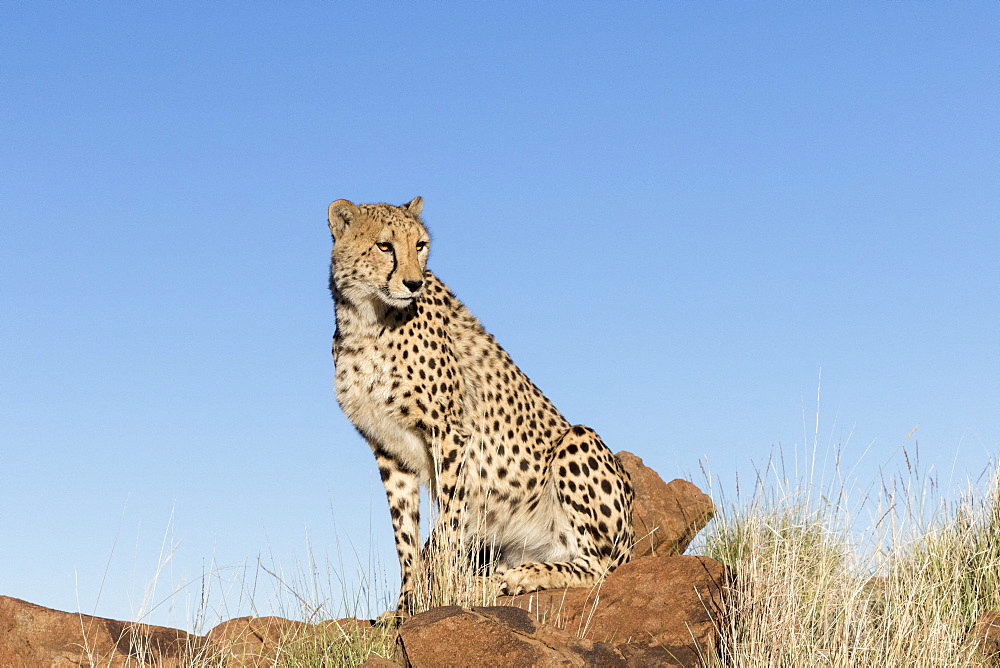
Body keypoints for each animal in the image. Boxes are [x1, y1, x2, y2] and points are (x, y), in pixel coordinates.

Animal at [328, 197, 632, 620]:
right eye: (384, 246)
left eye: (420, 245)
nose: (413, 283)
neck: (367, 319)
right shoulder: (388, 448)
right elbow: (405, 538)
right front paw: (405, 610)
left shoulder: (450, 434)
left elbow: (448, 523)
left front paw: (441, 599)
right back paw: (491, 582)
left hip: (578, 440)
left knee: (598, 566)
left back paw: (524, 576)